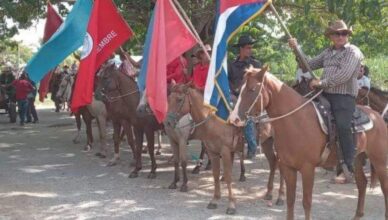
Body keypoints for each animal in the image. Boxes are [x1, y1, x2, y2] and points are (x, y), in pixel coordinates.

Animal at [230, 67, 388, 220]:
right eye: (239, 90)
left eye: (252, 90)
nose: (234, 119)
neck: (296, 121)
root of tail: (377, 116)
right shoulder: (288, 167)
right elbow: (290, 200)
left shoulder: (307, 168)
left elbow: (306, 202)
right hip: (357, 159)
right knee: (362, 184)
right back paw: (357, 215)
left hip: (379, 160)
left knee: (383, 186)